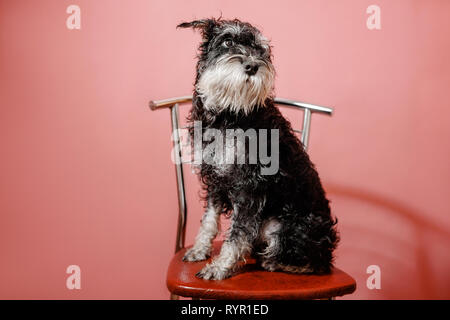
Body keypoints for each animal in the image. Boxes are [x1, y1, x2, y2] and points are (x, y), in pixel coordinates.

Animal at [176, 18, 338, 282]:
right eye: (227, 41)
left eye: (261, 49)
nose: (252, 65)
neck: (229, 115)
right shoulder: (215, 179)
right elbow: (209, 220)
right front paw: (199, 250)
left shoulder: (250, 186)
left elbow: (238, 233)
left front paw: (220, 267)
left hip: (282, 227)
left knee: (315, 264)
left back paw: (273, 262)